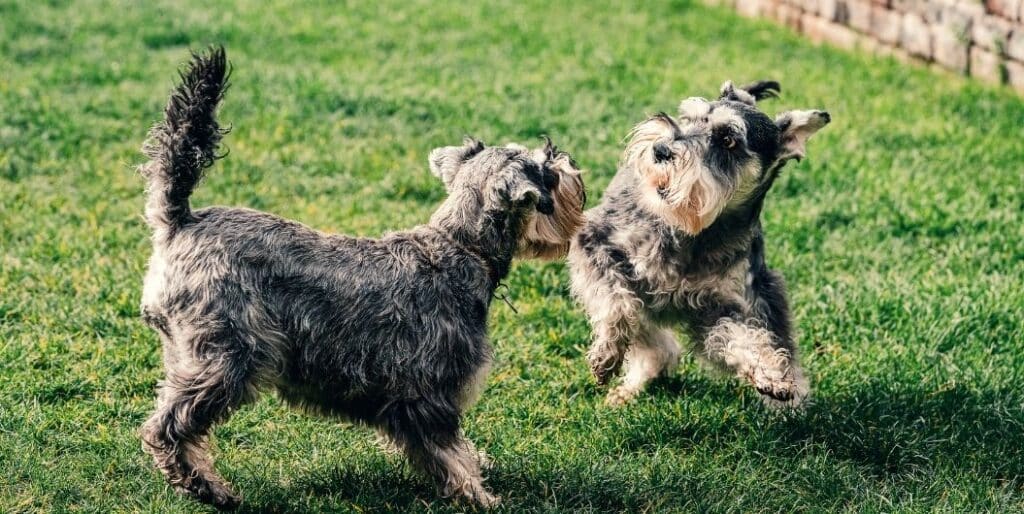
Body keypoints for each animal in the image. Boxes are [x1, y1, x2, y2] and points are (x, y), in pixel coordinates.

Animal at [136, 48, 585, 509]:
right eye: (542, 169)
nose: (564, 157)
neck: (461, 247)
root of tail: (181, 222)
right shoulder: (430, 394)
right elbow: (448, 452)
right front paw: (479, 496)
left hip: (189, 355)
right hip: (227, 359)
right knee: (168, 427)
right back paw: (209, 487)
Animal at [569, 81, 831, 409]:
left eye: (728, 140)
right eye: (689, 118)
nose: (661, 150)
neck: (695, 233)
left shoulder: (726, 305)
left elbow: (740, 335)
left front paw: (771, 373)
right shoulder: (595, 243)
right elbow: (617, 302)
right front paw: (607, 354)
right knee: (650, 338)